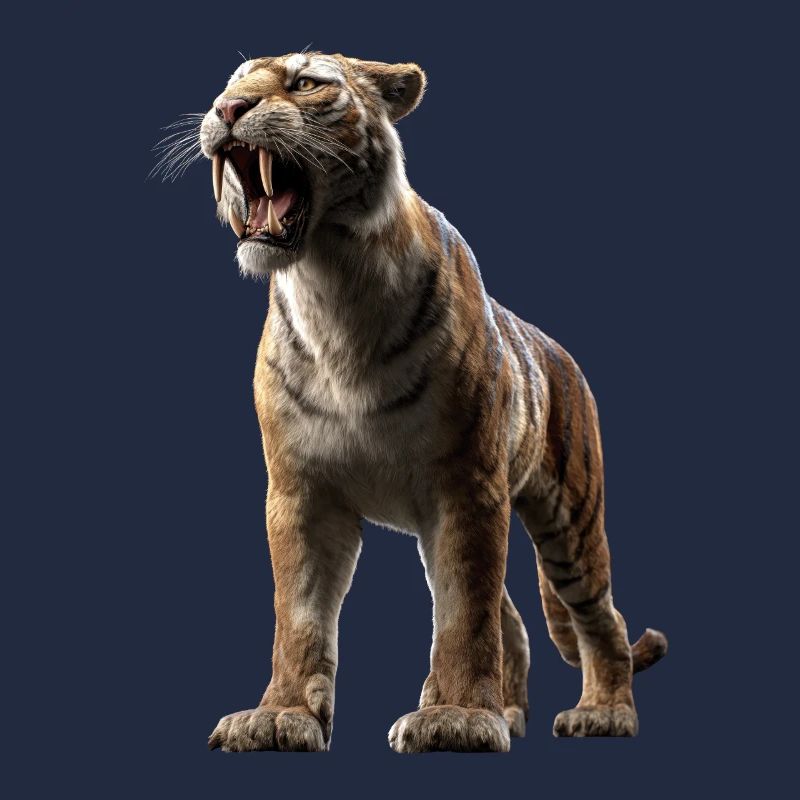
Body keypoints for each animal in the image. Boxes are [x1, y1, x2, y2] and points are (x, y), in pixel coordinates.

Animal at [187, 51, 667, 752]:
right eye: (229, 84)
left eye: (305, 83)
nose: (226, 110)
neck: (331, 285)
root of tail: (561, 351)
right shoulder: (301, 490)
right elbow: (298, 615)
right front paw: (280, 716)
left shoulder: (466, 486)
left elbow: (464, 614)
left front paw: (458, 717)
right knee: (513, 619)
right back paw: (513, 711)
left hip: (571, 521)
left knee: (600, 618)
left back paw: (605, 713)